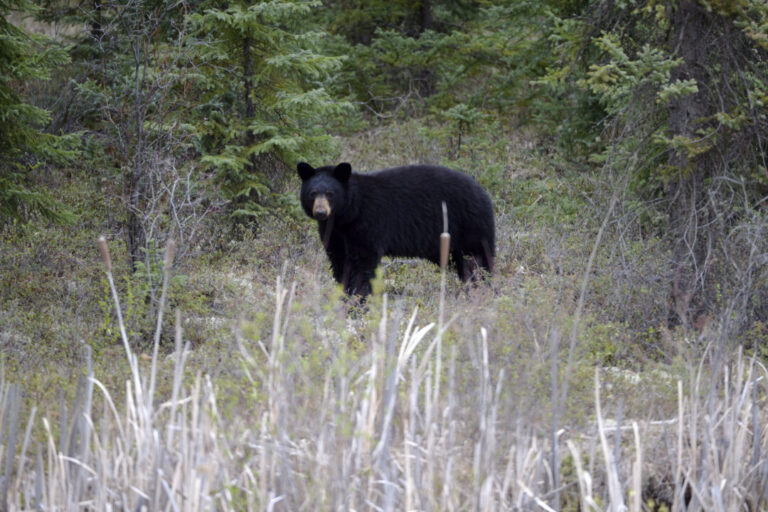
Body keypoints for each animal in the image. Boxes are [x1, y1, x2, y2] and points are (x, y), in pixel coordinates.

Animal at [298, 161, 495, 298]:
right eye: (313, 193)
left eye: (330, 193)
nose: (321, 212)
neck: (348, 214)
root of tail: (483, 192)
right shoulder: (335, 233)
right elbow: (339, 261)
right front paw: (344, 296)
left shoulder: (367, 224)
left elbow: (363, 264)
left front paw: (358, 300)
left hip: (470, 227)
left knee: (478, 262)